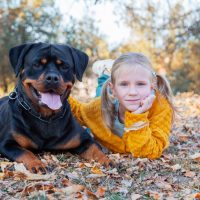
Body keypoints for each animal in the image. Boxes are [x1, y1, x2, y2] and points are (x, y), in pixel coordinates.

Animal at [0, 42, 111, 173]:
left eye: (64, 66)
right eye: (37, 64)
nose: (52, 77)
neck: (46, 117)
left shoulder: (85, 139)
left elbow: (95, 149)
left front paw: (106, 160)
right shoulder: (7, 144)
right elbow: (25, 152)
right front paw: (37, 164)